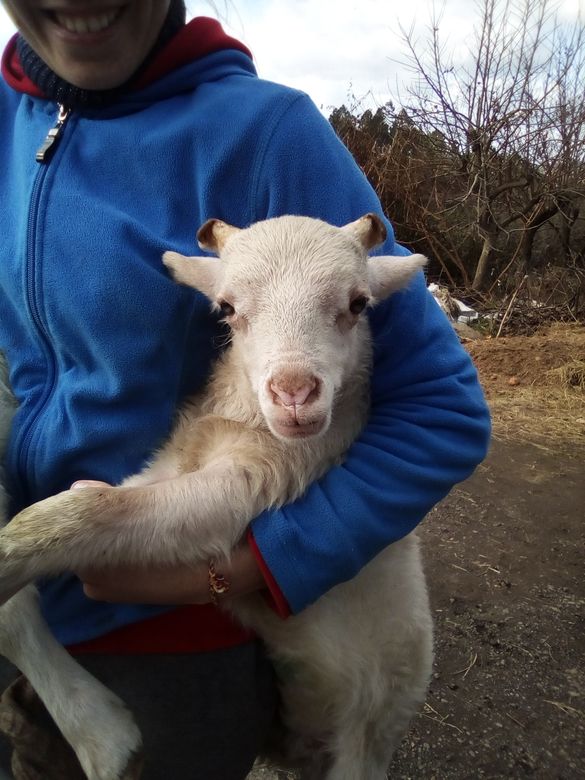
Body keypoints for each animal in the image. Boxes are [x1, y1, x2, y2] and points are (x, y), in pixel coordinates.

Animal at [0, 215, 428, 780]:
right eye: (227, 307)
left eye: (358, 304)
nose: (294, 393)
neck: (240, 418)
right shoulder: (171, 465)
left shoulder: (261, 479)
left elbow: (96, 510)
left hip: (373, 728)